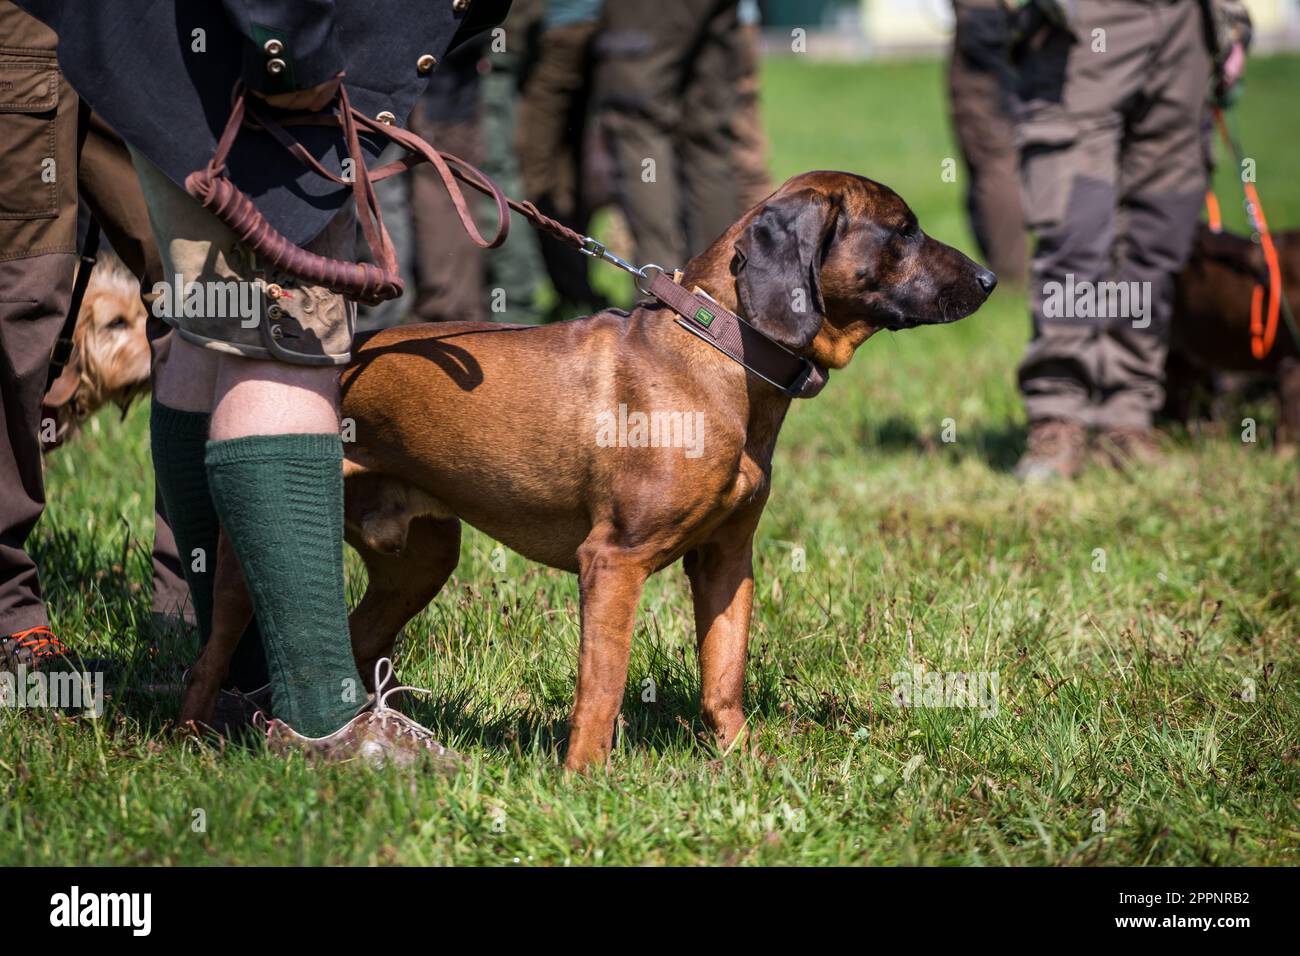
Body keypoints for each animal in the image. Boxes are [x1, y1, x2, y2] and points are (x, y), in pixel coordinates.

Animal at [185, 171, 993, 770]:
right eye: (903, 229)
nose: (989, 279)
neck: (719, 356)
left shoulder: (727, 559)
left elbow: (723, 677)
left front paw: (743, 764)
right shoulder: (613, 561)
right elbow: (601, 688)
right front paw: (585, 780)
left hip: (420, 562)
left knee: (354, 636)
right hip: (241, 572)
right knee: (211, 655)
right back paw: (194, 739)